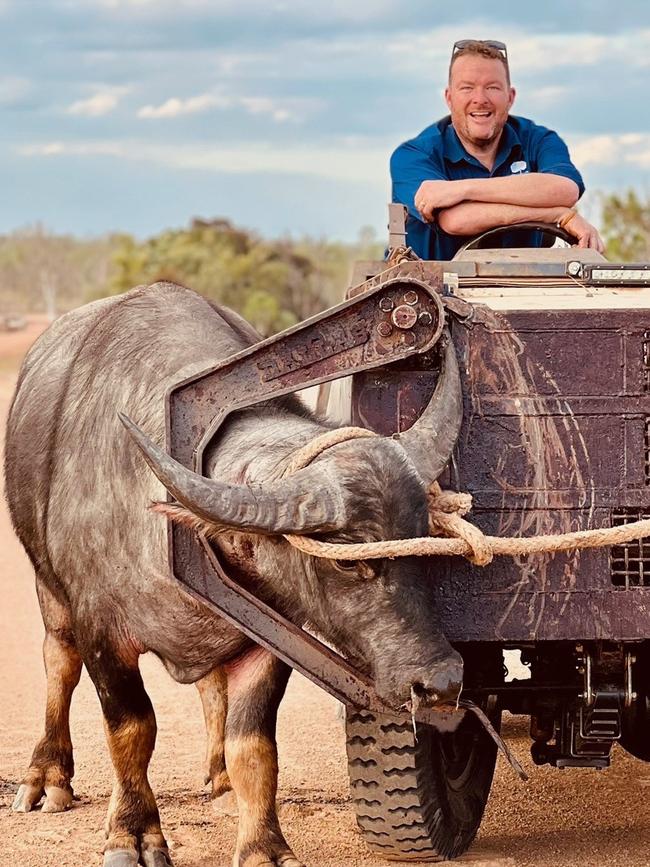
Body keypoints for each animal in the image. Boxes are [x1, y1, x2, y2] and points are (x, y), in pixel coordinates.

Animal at [5, 282, 460, 864]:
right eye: (345, 559)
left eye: (424, 540)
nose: (441, 679)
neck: (174, 529)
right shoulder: (102, 631)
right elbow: (132, 727)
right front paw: (132, 832)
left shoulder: (269, 635)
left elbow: (254, 744)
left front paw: (264, 843)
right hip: (50, 591)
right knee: (59, 663)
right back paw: (47, 777)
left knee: (212, 687)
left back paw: (219, 779)